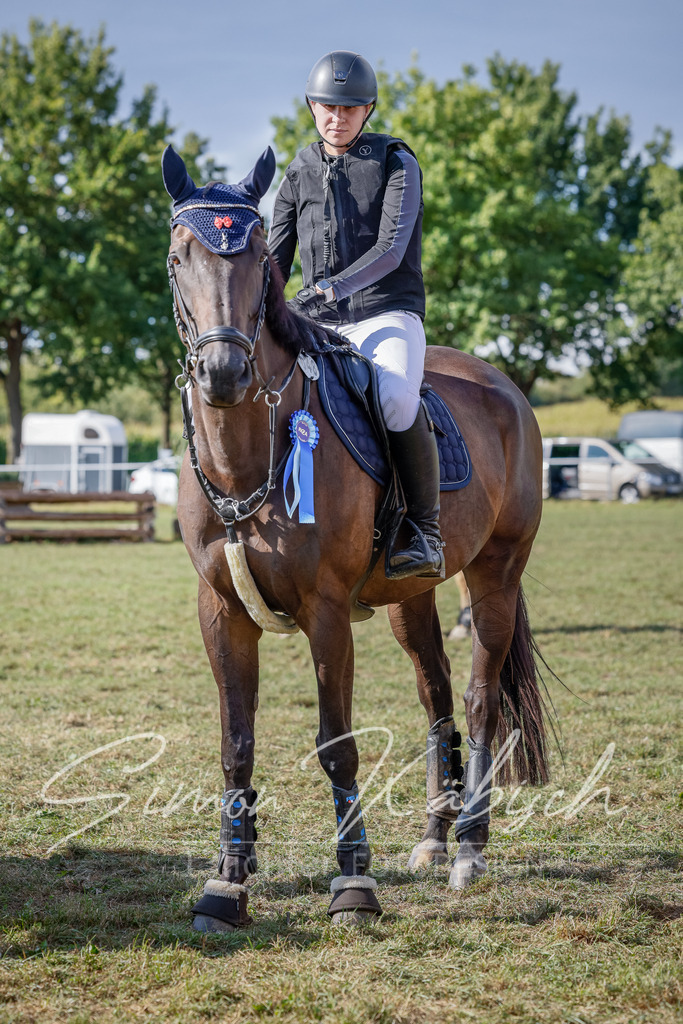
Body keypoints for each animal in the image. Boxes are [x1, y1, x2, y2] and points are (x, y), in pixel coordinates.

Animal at [161, 144, 552, 931]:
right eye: (180, 255)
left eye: (257, 258)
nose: (223, 372)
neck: (248, 455)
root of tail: (505, 389)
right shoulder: (220, 611)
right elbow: (235, 742)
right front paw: (227, 884)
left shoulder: (327, 611)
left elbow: (336, 745)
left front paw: (353, 885)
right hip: (412, 596)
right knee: (435, 696)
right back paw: (434, 838)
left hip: (496, 574)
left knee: (479, 698)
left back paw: (469, 850)